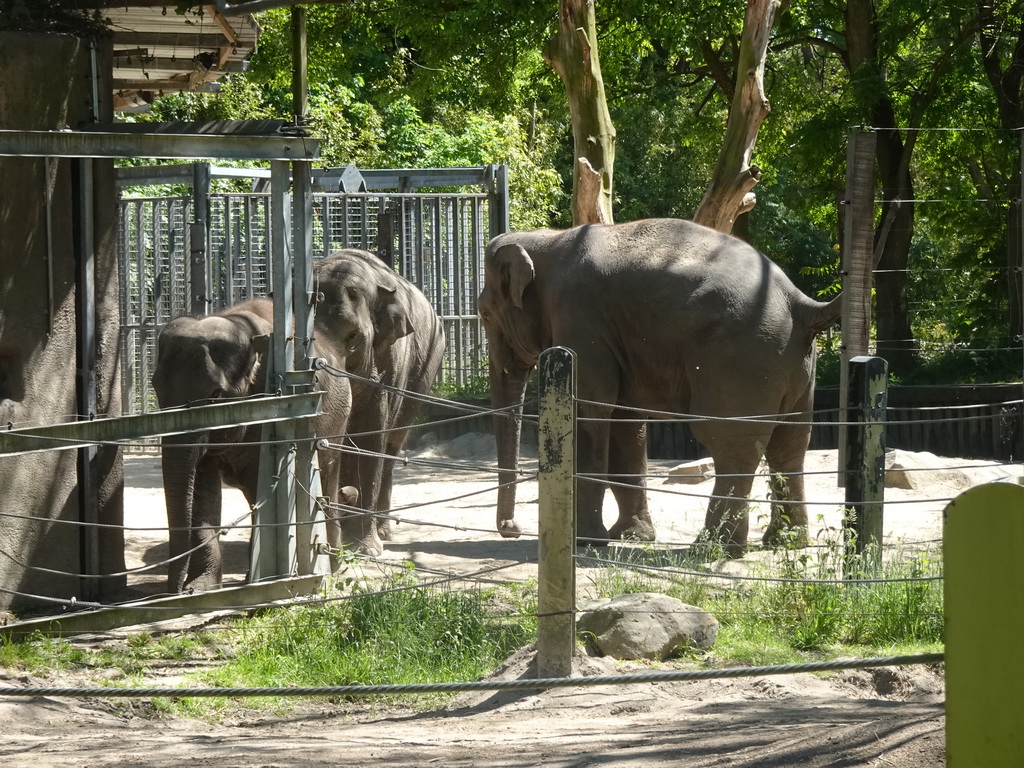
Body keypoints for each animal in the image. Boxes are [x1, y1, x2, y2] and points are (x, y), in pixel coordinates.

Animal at [149, 301, 360, 593]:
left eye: (216, 395)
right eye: (155, 388)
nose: (176, 590)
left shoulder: (272, 408)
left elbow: (263, 484)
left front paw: (257, 583)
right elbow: (202, 486)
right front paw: (201, 588)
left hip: (337, 419)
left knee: (326, 474)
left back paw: (333, 562)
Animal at [313, 249, 446, 557]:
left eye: (352, 338)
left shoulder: (390, 363)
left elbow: (371, 436)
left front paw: (368, 550)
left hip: (423, 374)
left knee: (391, 446)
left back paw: (382, 531)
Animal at [477, 219, 839, 557]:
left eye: (484, 314)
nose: (512, 529)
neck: (548, 240)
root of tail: (800, 302)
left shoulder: (579, 321)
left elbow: (589, 412)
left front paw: (584, 542)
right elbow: (624, 425)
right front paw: (631, 536)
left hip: (741, 358)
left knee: (730, 443)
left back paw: (712, 548)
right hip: (795, 364)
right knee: (789, 444)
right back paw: (785, 542)